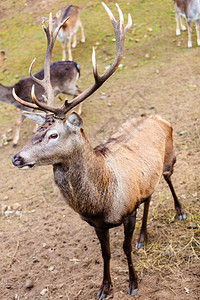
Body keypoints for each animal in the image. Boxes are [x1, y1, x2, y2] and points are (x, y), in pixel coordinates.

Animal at [10, 2, 186, 300]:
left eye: (53, 134)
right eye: (35, 132)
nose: (17, 157)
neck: (102, 201)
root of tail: (156, 117)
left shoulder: (127, 211)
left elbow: (123, 249)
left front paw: (133, 283)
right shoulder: (97, 224)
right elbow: (106, 254)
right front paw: (105, 287)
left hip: (169, 159)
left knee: (169, 181)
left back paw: (179, 211)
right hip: (146, 179)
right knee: (149, 196)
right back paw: (143, 237)